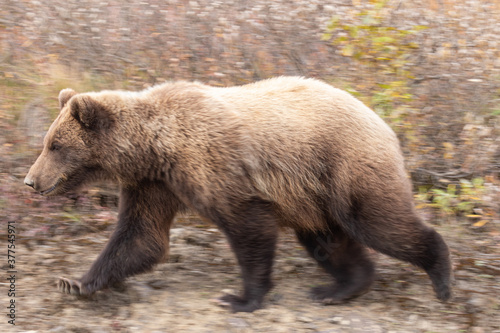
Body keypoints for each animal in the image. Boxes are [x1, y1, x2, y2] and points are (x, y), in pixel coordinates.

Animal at [24, 76, 454, 310]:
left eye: (55, 146)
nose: (30, 181)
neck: (155, 148)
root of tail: (384, 124)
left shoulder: (216, 169)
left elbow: (249, 229)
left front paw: (240, 298)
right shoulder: (154, 184)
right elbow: (140, 237)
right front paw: (75, 282)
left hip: (344, 167)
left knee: (379, 223)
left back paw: (441, 275)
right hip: (311, 196)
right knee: (328, 240)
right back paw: (338, 288)